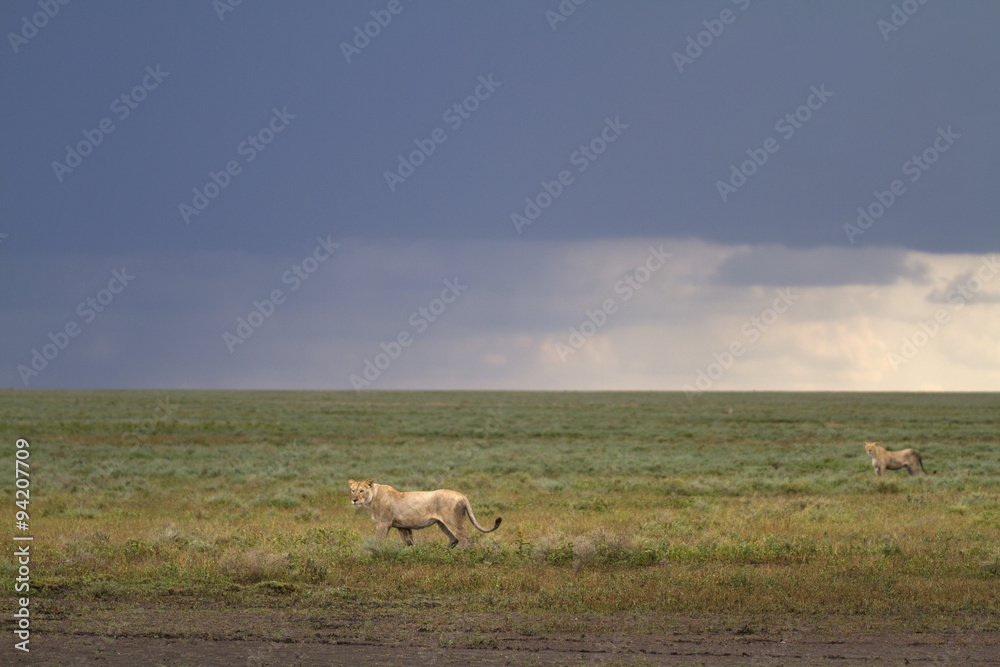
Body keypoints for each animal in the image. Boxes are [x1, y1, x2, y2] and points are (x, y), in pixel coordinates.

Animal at [348, 478, 501, 547]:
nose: (354, 500)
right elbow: (409, 543)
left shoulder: (383, 524)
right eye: (353, 490)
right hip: (442, 524)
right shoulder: (403, 526)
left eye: (361, 491)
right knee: (454, 539)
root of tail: (463, 496)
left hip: (453, 521)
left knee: (466, 540)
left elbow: (377, 542)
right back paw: (441, 552)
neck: (372, 499)